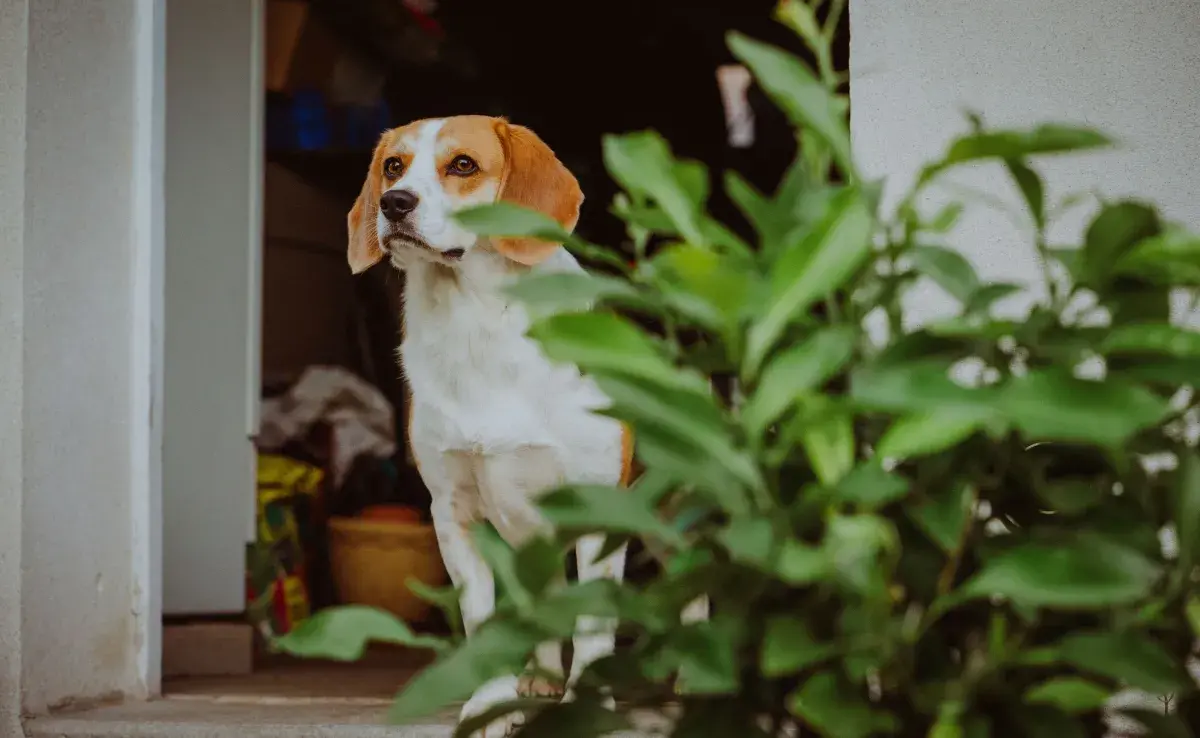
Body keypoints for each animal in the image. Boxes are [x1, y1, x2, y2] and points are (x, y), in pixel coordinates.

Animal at [345, 115, 628, 734]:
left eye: (463, 165)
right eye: (393, 166)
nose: (394, 203)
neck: (475, 322)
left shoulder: (599, 510)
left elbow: (594, 628)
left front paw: (590, 708)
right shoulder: (453, 514)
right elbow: (482, 621)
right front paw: (491, 703)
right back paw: (539, 680)